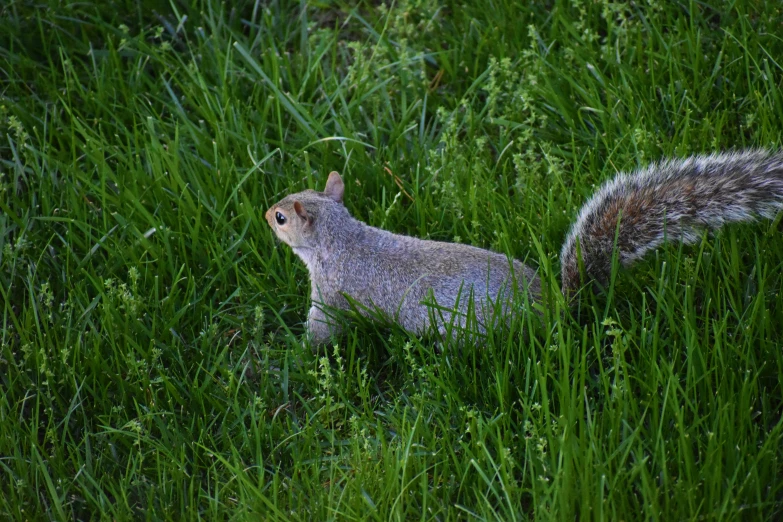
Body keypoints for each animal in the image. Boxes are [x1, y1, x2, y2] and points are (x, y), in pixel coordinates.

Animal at [264, 148, 783, 344]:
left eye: (283, 217)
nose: (265, 213)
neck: (341, 237)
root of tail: (550, 307)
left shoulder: (331, 292)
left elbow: (323, 329)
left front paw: (301, 351)